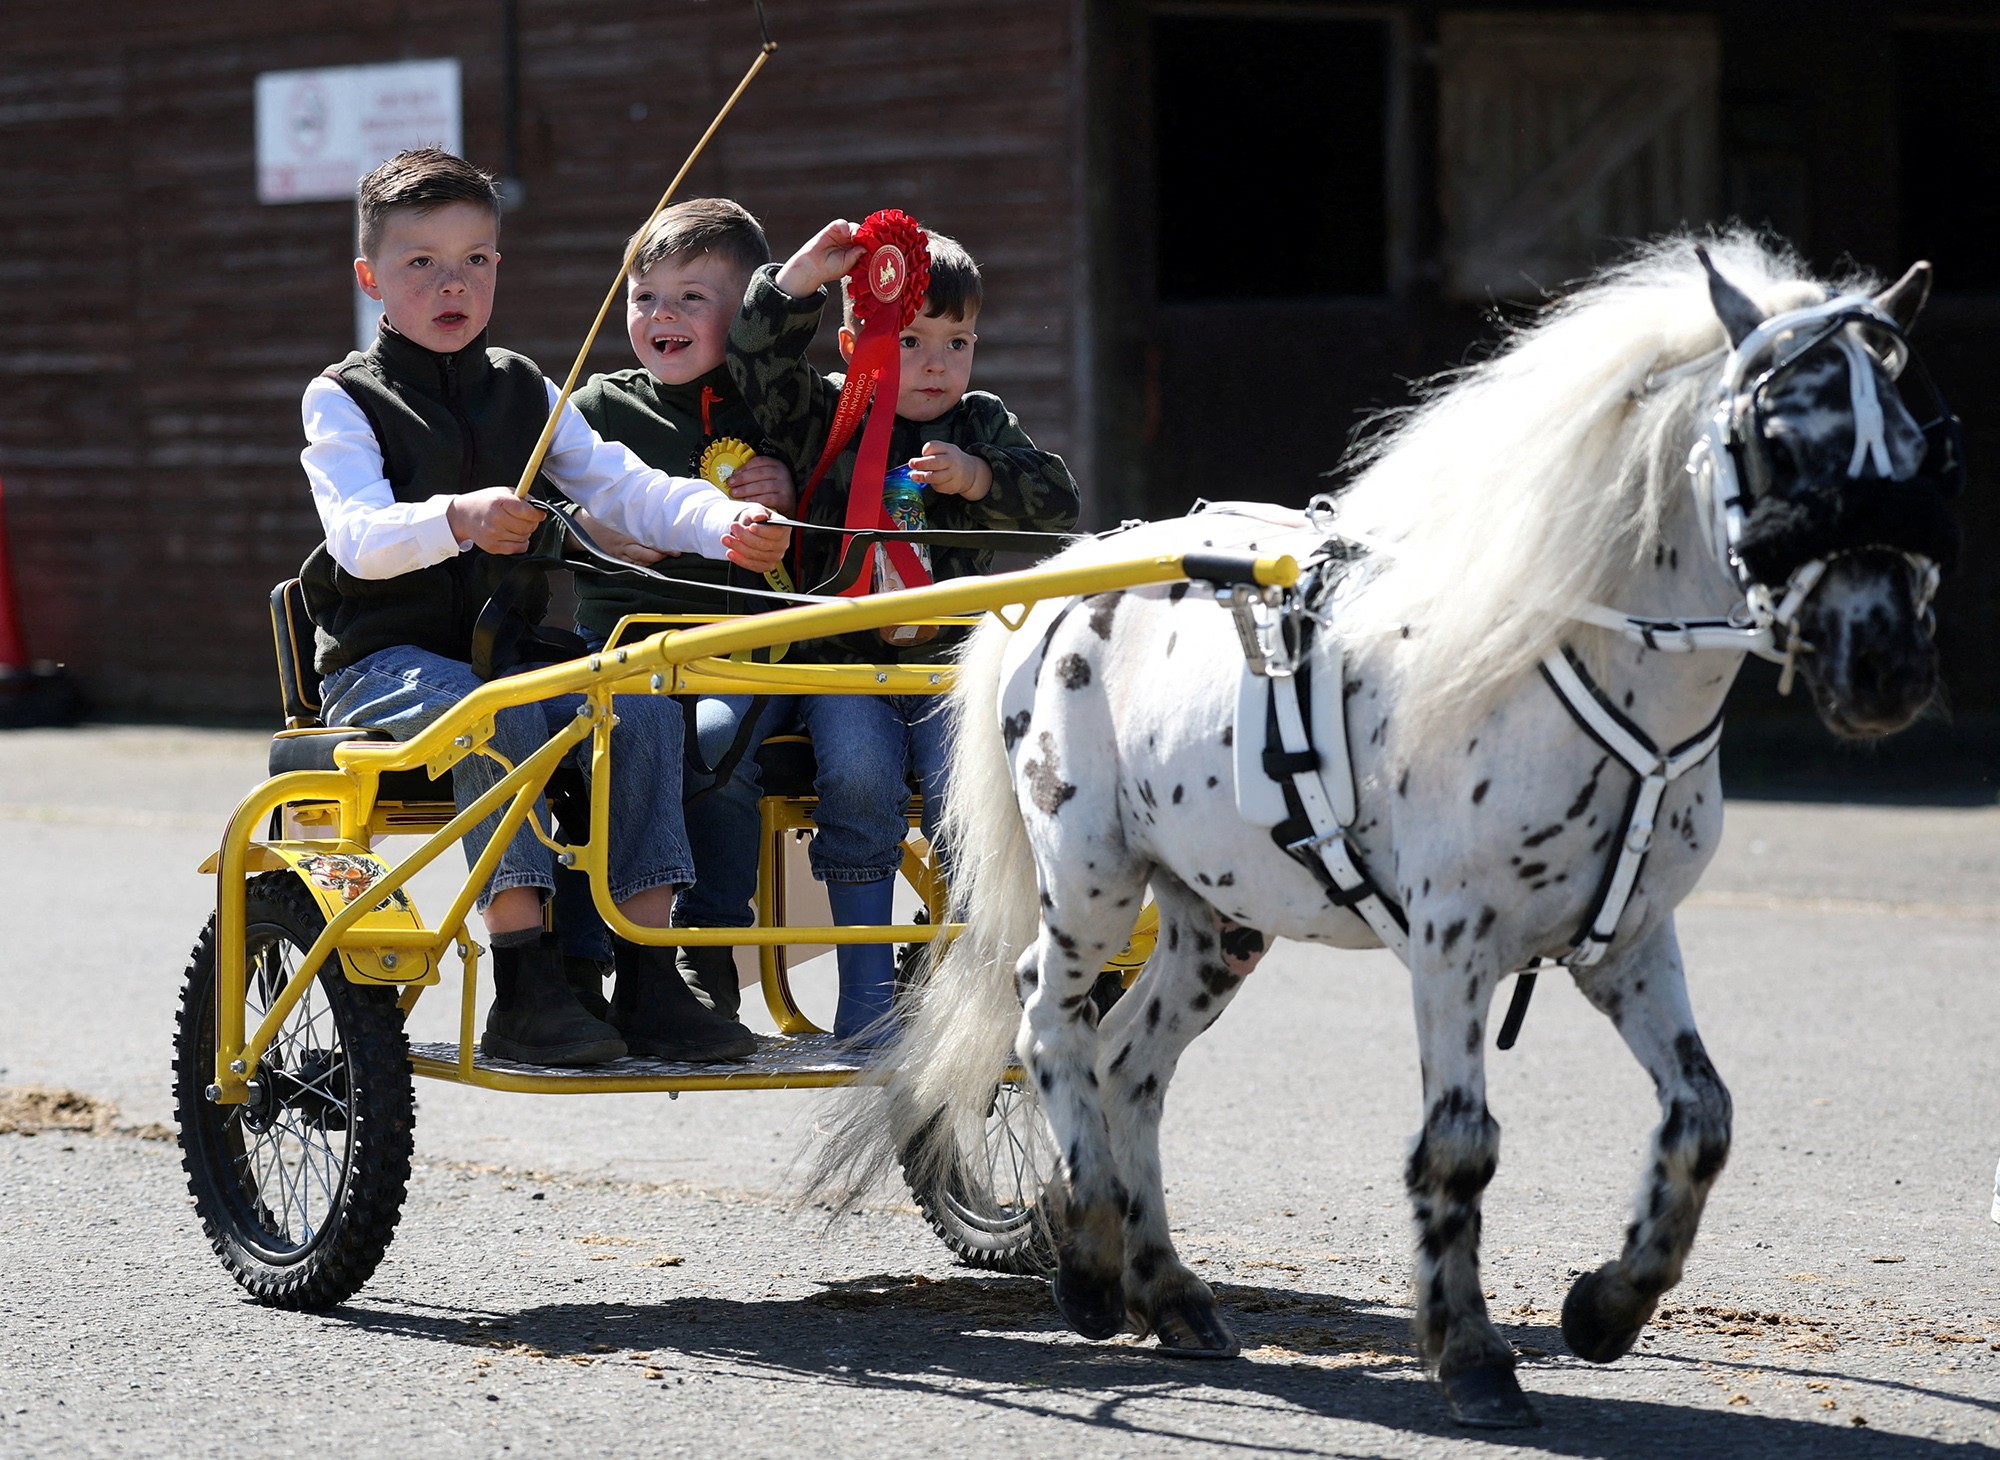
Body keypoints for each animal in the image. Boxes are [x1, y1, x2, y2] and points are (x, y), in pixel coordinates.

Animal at [805, 232, 1964, 1429]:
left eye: (1920, 443)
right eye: (1780, 439)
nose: (1884, 663)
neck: (1561, 658)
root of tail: (1063, 584)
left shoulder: (1633, 941)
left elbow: (1702, 1117)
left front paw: (1605, 1306)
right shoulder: (1453, 944)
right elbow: (1457, 1147)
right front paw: (1472, 1356)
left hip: (1213, 918)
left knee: (1128, 1062)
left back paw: (1170, 1290)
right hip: (1088, 879)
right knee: (1046, 1023)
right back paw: (1085, 1265)